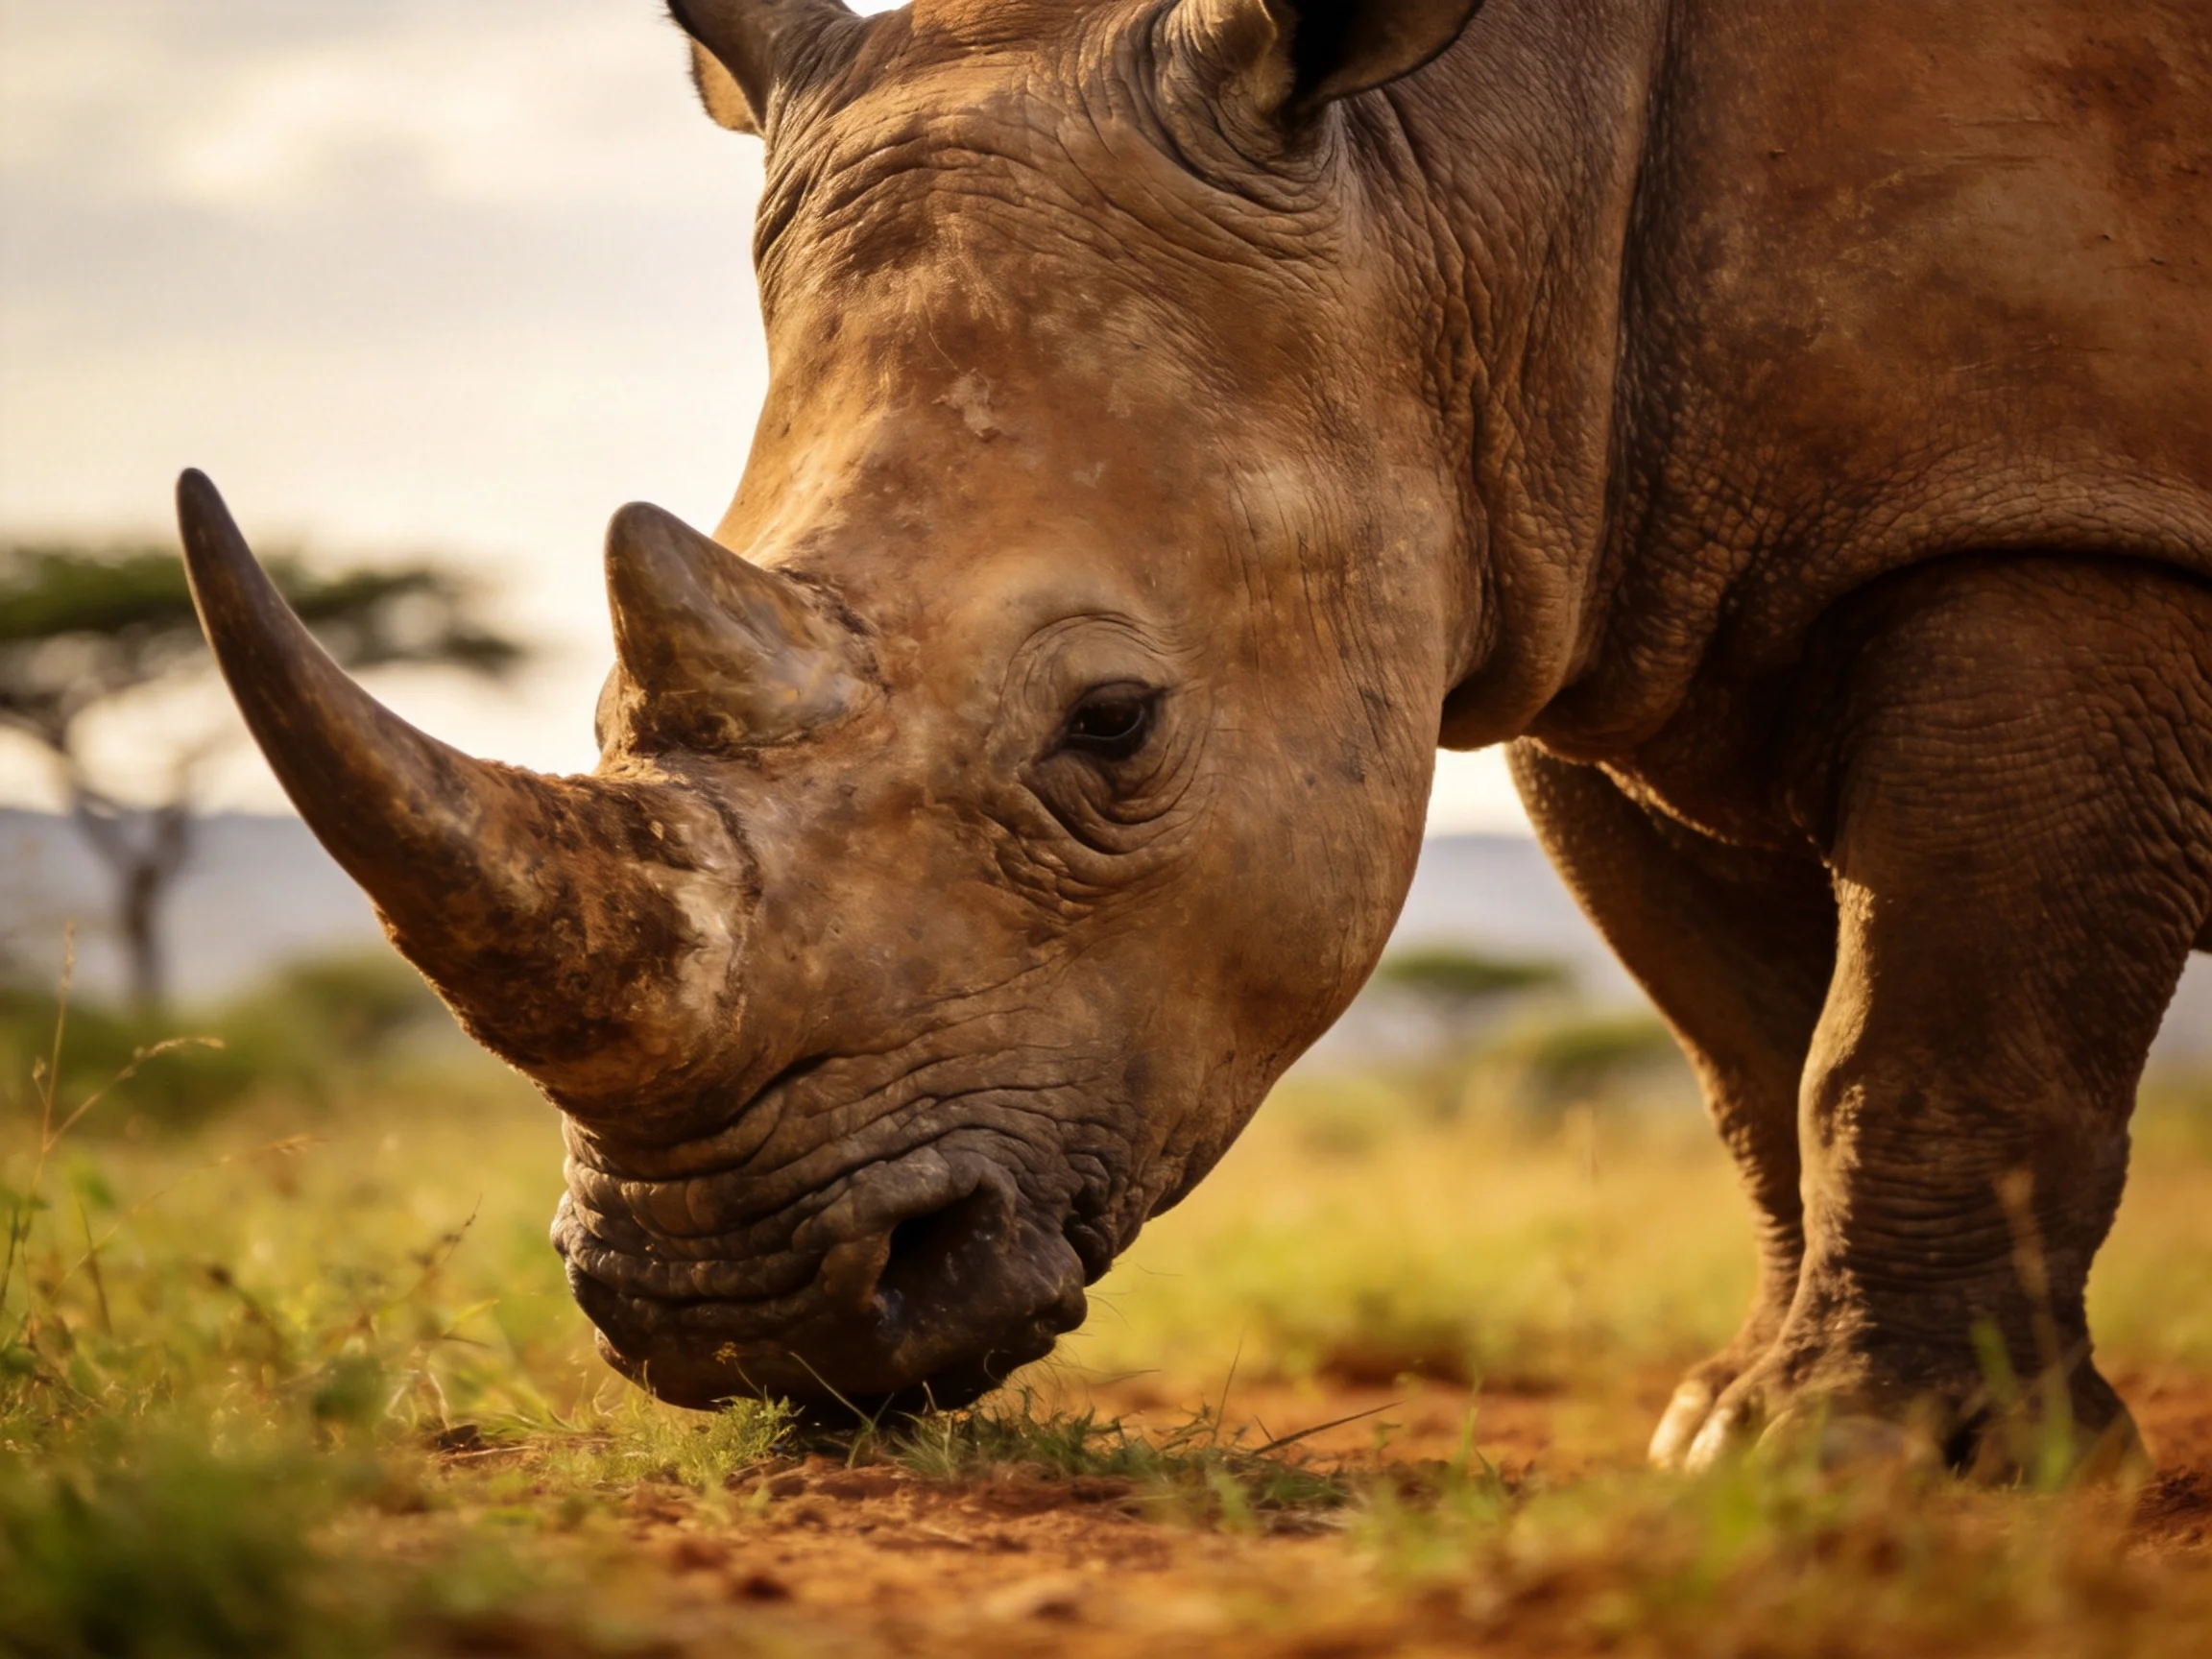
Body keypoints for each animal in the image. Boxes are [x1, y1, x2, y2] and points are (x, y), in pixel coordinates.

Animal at [177, 0, 2210, 1470]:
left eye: (1112, 722)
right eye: (599, 714)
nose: (729, 1310)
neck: (1468, 174)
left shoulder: (2055, 518)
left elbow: (1927, 1026)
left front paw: (1870, 1456)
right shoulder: (1621, 582)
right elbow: (1753, 1039)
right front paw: (1747, 1423)